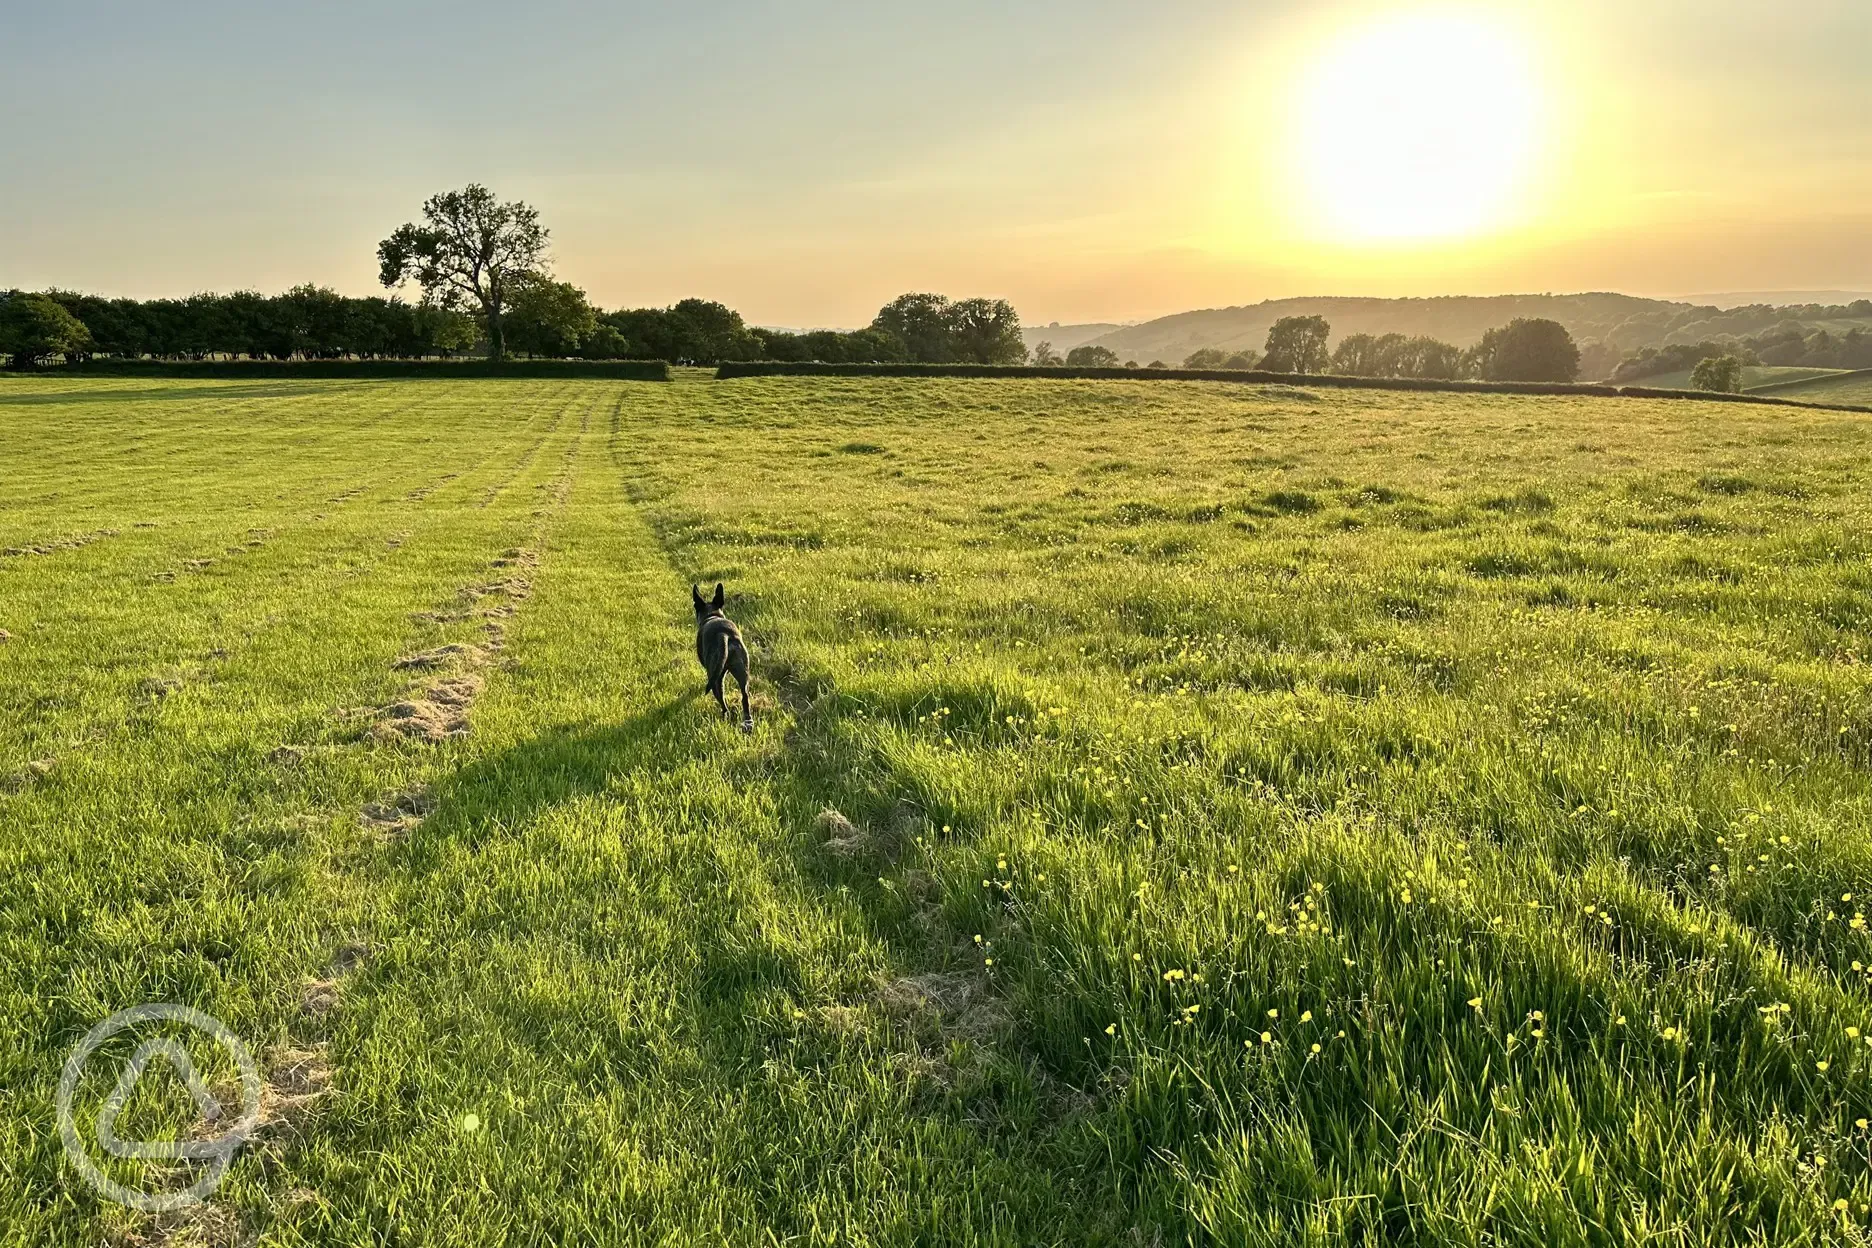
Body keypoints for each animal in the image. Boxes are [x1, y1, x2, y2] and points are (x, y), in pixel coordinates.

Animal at [692, 583, 748, 733]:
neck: (712, 616)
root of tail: (724, 635)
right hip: (742, 670)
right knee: (745, 696)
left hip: (715, 678)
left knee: (721, 700)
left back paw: (724, 715)